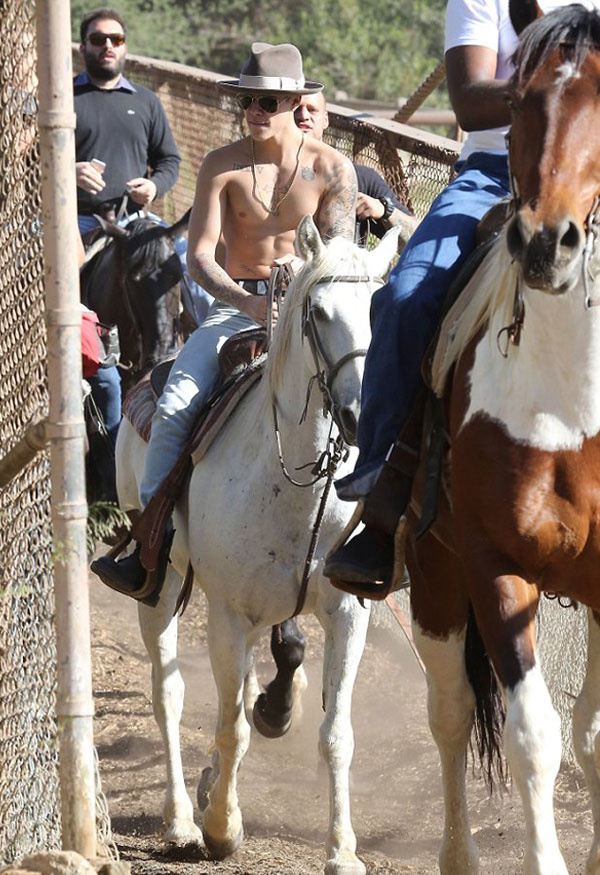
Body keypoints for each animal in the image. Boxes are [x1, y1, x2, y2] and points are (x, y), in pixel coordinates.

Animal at [115, 214, 400, 875]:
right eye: (317, 311)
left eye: (383, 306)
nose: (359, 412)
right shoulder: (227, 614)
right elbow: (229, 726)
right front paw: (223, 827)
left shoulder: (346, 612)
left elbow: (334, 734)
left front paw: (343, 851)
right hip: (162, 587)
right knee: (170, 694)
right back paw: (181, 819)